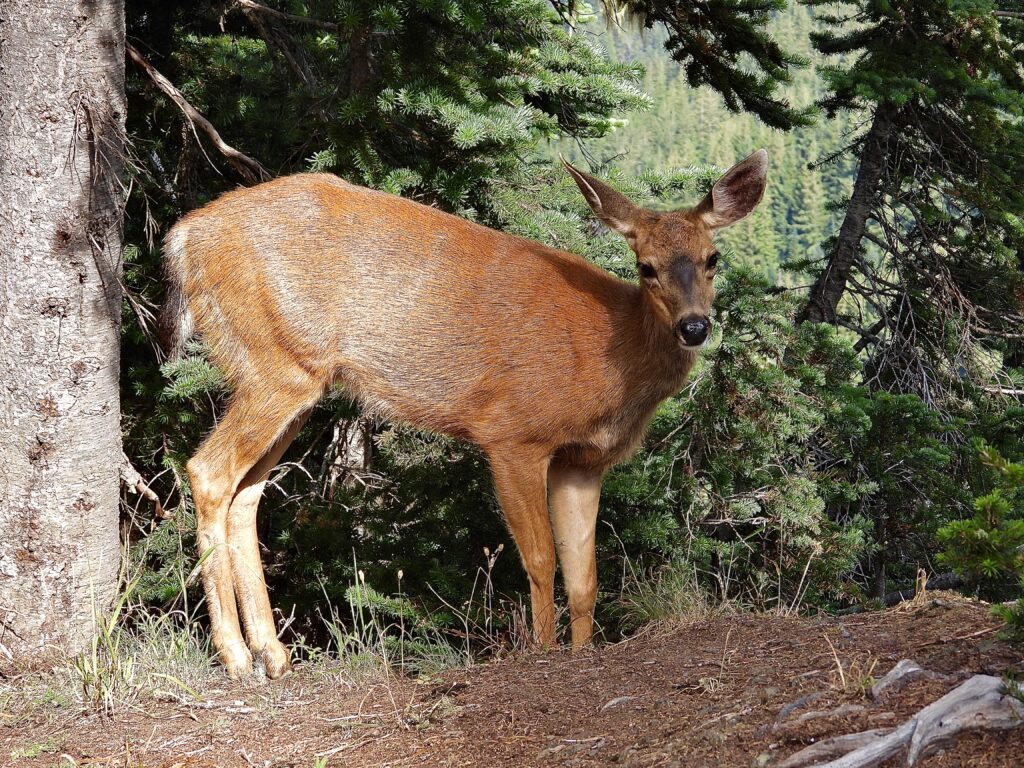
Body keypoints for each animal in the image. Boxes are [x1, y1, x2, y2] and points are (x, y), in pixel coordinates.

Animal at [159, 148, 770, 679]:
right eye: (646, 267)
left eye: (713, 259)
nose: (695, 326)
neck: (610, 354)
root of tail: (183, 240)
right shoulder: (514, 433)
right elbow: (541, 558)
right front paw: (543, 653)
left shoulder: (582, 461)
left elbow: (585, 576)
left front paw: (582, 653)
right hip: (274, 364)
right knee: (208, 471)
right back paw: (236, 657)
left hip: (291, 382)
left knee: (247, 492)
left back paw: (274, 655)